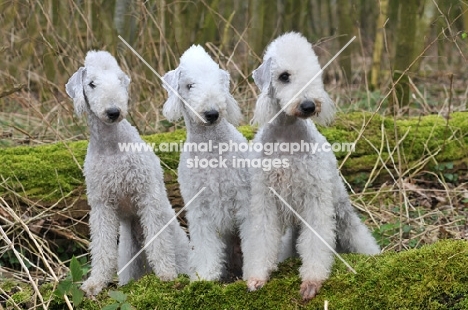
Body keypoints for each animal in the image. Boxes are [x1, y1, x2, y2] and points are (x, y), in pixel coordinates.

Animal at [65, 50, 188, 296]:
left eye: (120, 80)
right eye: (91, 83)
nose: (113, 111)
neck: (112, 147)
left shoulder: (147, 195)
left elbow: (158, 242)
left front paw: (166, 274)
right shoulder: (101, 204)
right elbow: (102, 246)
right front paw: (95, 283)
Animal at [163, 45, 250, 280]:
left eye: (219, 83)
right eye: (189, 85)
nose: (212, 113)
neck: (211, 150)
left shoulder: (243, 199)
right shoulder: (199, 208)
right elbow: (206, 248)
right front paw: (205, 277)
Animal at [241, 33, 380, 300]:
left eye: (315, 74)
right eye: (284, 76)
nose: (309, 105)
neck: (287, 135)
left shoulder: (315, 198)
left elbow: (316, 242)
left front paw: (312, 281)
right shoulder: (265, 198)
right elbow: (261, 238)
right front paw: (257, 277)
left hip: (341, 211)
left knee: (358, 236)